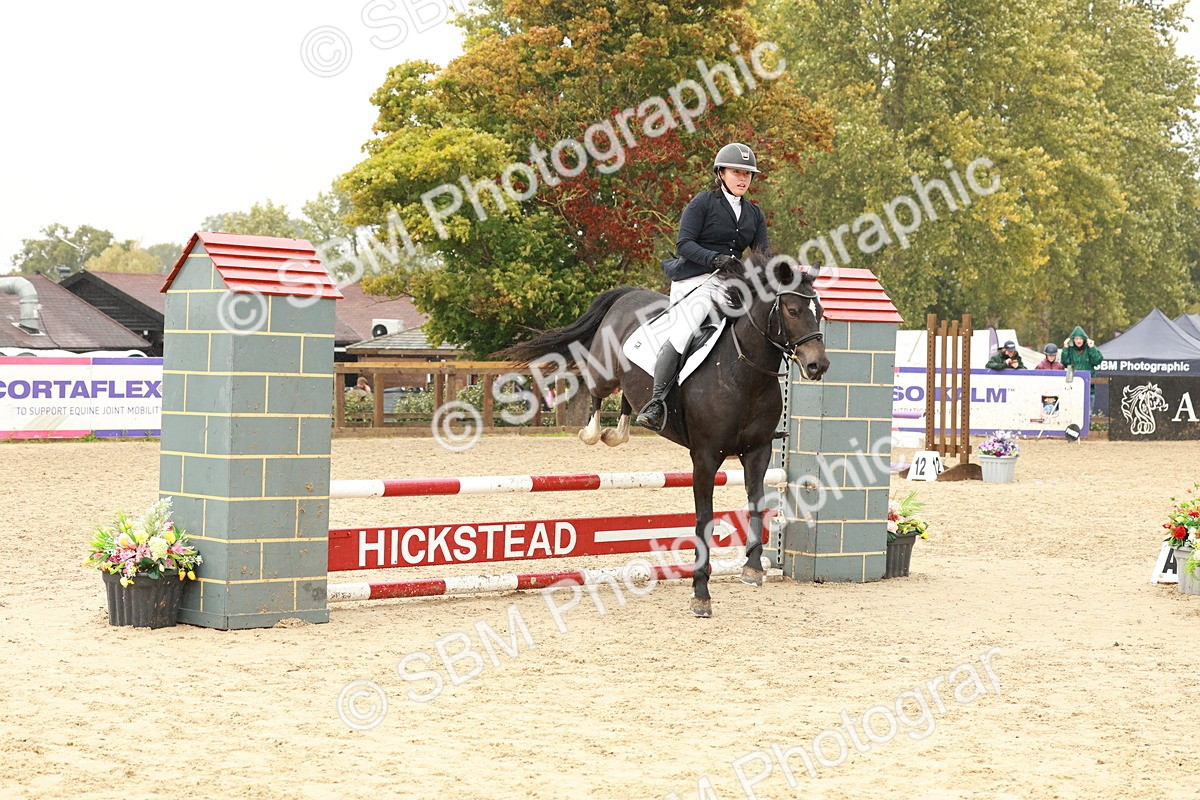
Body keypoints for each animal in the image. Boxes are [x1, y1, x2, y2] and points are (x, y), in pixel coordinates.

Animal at [494, 253, 830, 617]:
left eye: (821, 313)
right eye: (793, 311)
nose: (818, 366)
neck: (744, 374)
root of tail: (629, 295)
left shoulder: (758, 451)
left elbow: (756, 504)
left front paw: (753, 568)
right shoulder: (705, 456)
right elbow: (704, 519)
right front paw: (701, 594)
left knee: (628, 399)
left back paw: (623, 429)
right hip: (605, 372)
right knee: (597, 391)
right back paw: (594, 432)